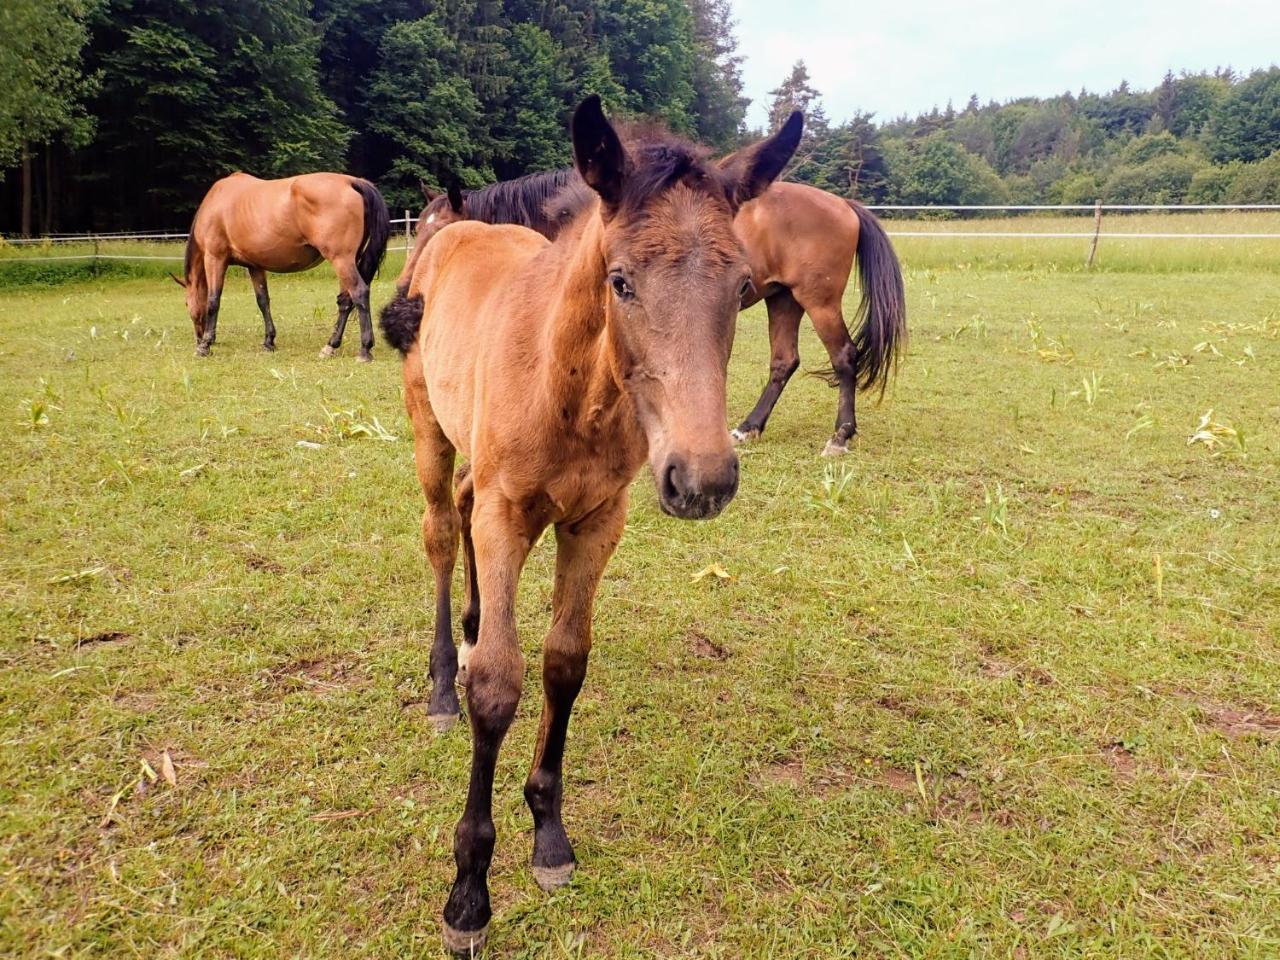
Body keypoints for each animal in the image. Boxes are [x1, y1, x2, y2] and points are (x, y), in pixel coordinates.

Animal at [174, 171, 389, 363]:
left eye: (186, 304)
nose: (198, 337)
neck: (217, 201)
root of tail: (351, 181)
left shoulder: (214, 258)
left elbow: (213, 301)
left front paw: (205, 346)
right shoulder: (254, 266)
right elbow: (263, 301)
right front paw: (269, 341)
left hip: (341, 260)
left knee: (359, 293)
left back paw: (364, 350)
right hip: (347, 261)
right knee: (345, 301)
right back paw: (330, 346)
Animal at [378, 96, 798, 957]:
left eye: (744, 287)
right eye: (621, 280)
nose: (703, 479)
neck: (567, 386)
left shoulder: (599, 520)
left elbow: (564, 664)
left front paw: (549, 835)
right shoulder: (510, 512)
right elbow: (498, 686)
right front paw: (468, 894)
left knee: (462, 513)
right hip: (430, 431)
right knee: (441, 529)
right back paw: (440, 680)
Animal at [404, 167, 906, 453]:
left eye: (442, 229)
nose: (407, 287)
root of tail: (844, 203)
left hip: (819, 302)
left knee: (844, 358)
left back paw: (840, 436)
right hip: (783, 299)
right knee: (784, 362)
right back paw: (748, 428)